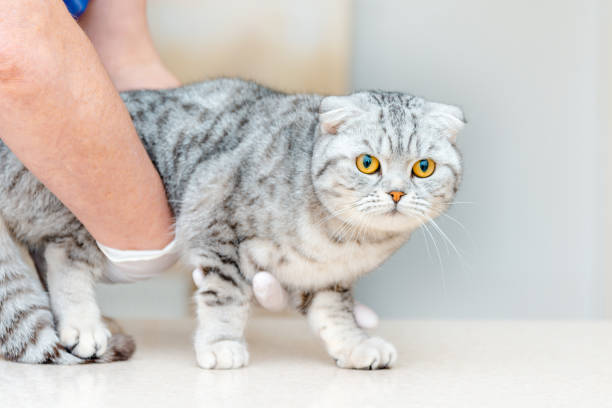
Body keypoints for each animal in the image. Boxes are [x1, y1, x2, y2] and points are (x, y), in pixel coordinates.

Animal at [0, 78, 464, 368]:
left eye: (423, 167)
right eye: (367, 163)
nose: (397, 193)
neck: (344, 242)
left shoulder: (326, 279)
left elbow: (336, 316)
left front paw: (355, 346)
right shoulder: (218, 227)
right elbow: (224, 298)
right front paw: (222, 345)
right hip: (84, 208)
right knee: (63, 259)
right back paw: (84, 323)